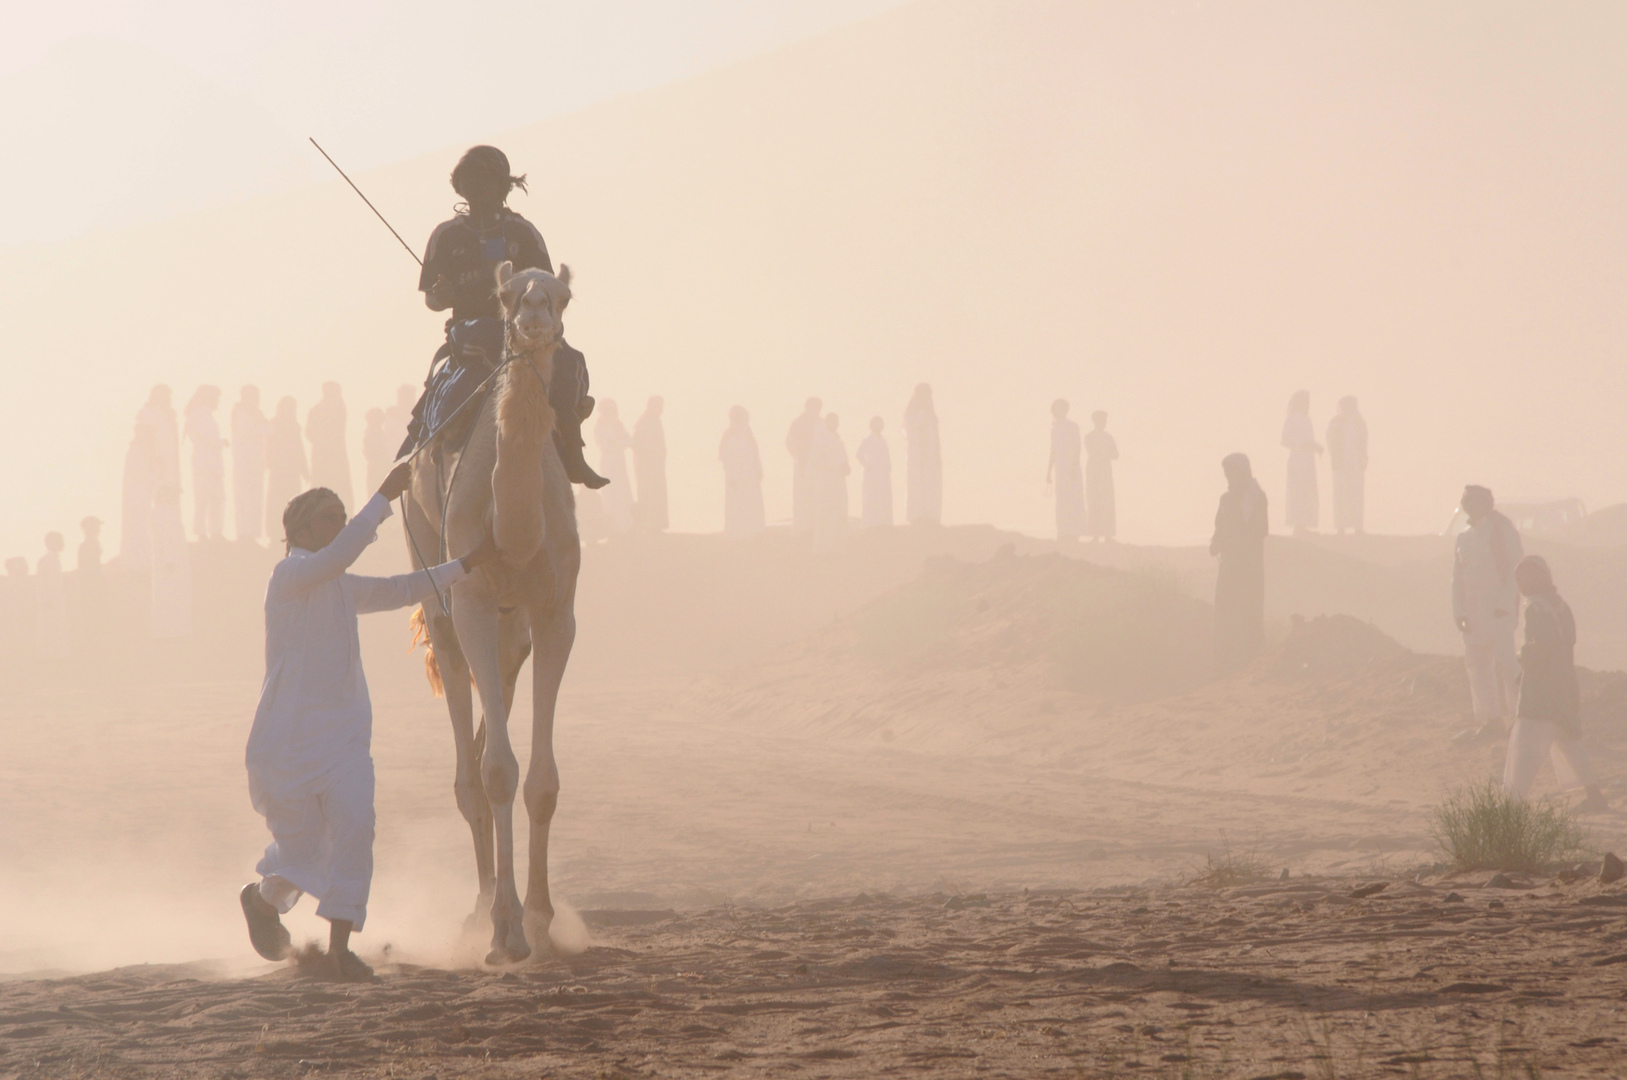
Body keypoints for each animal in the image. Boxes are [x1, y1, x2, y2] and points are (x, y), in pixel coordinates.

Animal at [403, 260, 582, 962]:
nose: (532, 316)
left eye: (561, 296)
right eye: (507, 296)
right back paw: (477, 910)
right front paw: (505, 930)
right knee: (468, 765)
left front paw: (543, 918)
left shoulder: (556, 613)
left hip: (514, 632)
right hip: (437, 588)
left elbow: (543, 780)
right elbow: (499, 772)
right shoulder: (474, 602)